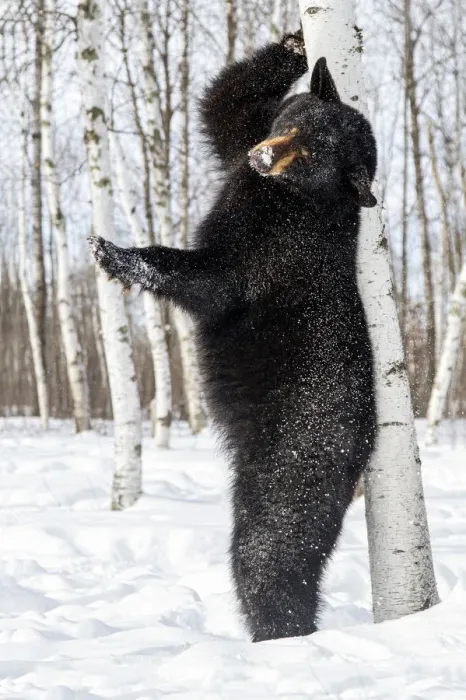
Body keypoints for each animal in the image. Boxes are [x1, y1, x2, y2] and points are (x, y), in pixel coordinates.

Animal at [89, 28, 378, 643]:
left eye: (315, 154)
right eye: (295, 121)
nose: (264, 157)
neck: (289, 197)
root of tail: (362, 452)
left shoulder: (277, 247)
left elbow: (215, 280)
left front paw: (116, 254)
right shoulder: (243, 152)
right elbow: (224, 108)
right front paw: (296, 45)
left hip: (296, 454)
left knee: (270, 550)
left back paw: (279, 636)